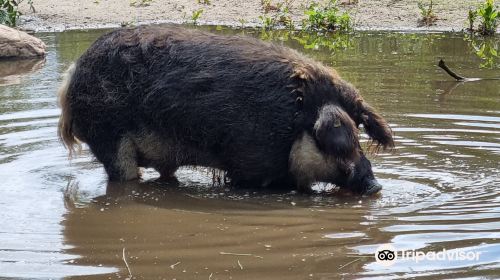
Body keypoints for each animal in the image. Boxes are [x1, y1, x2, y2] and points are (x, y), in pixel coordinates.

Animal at [57, 25, 394, 195]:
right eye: (342, 141)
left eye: (359, 134)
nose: (375, 186)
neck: (293, 120)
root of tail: (72, 73)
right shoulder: (249, 163)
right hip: (108, 137)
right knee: (123, 175)